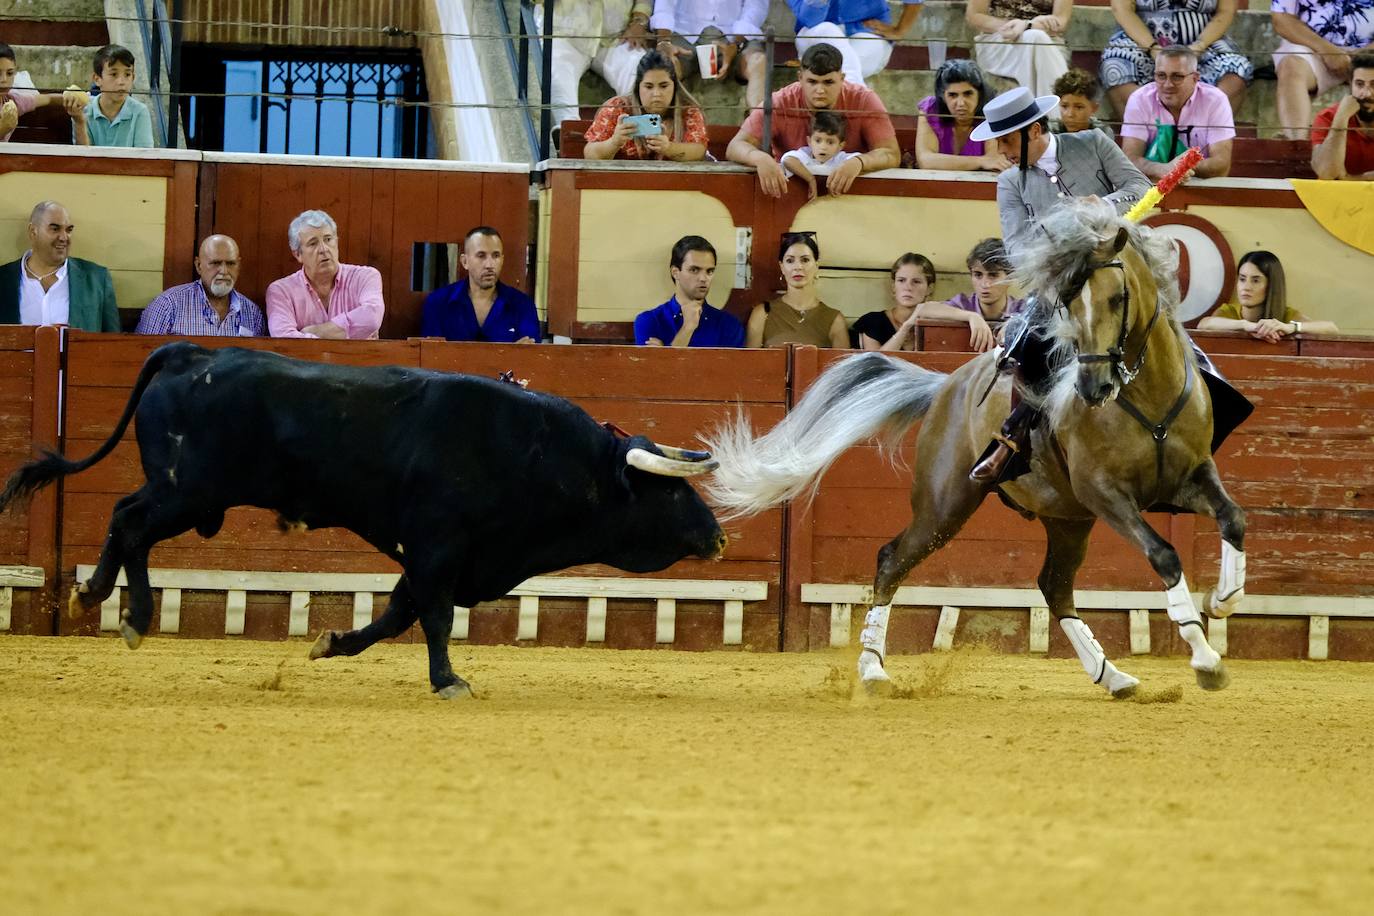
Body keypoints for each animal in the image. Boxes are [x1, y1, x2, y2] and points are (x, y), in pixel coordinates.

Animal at [0, 343, 725, 694]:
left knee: (130, 520)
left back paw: (109, 601)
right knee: (130, 521)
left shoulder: (441, 557)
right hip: (188, 491)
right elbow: (431, 616)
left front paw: (330, 643)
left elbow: (396, 614)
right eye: (671, 496)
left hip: (190, 496)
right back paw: (122, 610)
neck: (536, 452)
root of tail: (192, 353)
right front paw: (448, 680)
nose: (718, 537)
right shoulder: (438, 546)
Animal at [708, 200, 1247, 697]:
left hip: (1066, 516)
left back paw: (1111, 675)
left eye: (1117, 298)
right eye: (1069, 305)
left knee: (1055, 585)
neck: (1147, 396)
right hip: (947, 504)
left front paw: (1224, 598)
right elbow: (1165, 555)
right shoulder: (1106, 495)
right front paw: (1206, 660)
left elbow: (1233, 517)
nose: (1093, 387)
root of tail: (946, 384)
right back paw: (873, 670)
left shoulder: (1188, 477)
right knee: (892, 558)